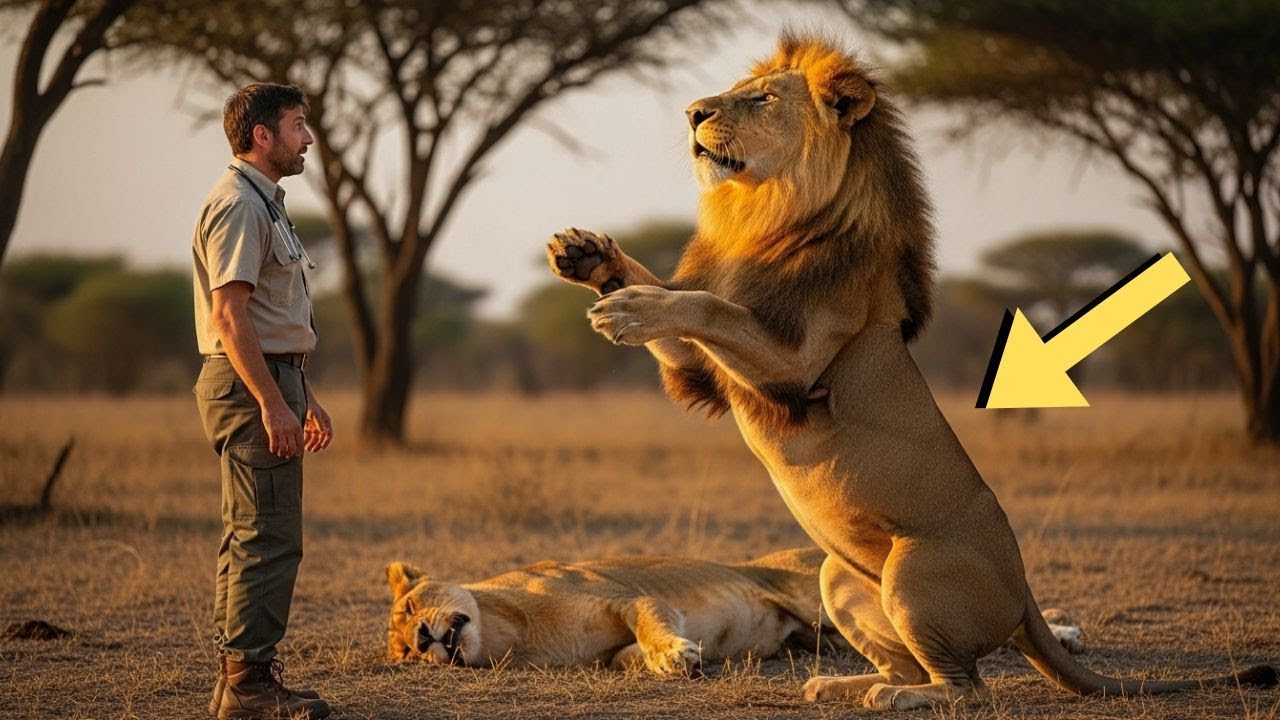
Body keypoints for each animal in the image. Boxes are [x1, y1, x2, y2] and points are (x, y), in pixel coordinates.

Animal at [545, 32, 1277, 709]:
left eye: (762, 99)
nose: (693, 112)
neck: (763, 211)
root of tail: (1025, 598)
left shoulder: (796, 365)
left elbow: (704, 306)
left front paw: (631, 309)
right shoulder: (708, 371)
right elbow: (676, 312)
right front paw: (588, 257)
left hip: (912, 570)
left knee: (968, 684)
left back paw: (896, 697)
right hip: (839, 577)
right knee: (914, 665)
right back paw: (841, 685)